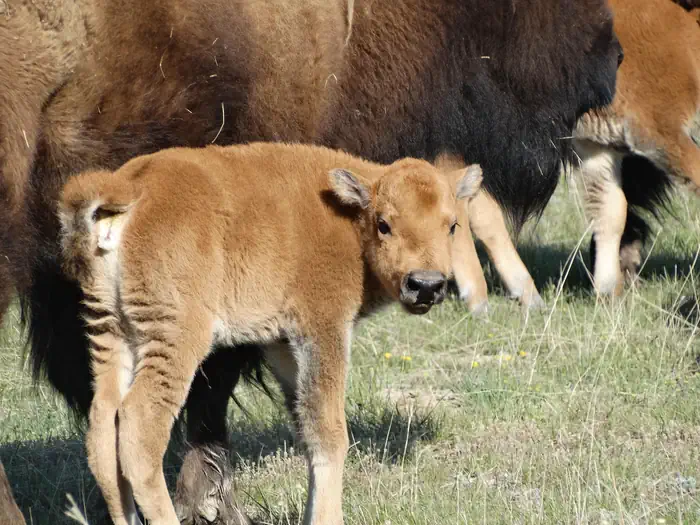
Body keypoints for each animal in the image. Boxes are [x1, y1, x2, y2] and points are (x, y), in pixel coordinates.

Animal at [58, 142, 483, 525]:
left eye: (452, 225)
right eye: (384, 224)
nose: (425, 285)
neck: (348, 217)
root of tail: (131, 187)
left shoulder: (281, 344)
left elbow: (307, 427)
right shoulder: (323, 327)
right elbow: (330, 431)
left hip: (111, 330)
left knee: (102, 429)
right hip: (175, 337)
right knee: (140, 425)